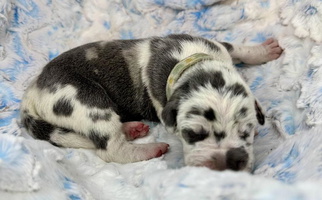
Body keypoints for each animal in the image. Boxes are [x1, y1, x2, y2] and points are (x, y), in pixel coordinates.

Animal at [20, 33, 282, 171]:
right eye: (191, 134)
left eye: (245, 131)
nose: (224, 167)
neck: (190, 61)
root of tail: (33, 90)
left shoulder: (217, 46)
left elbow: (236, 48)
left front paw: (264, 51)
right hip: (88, 101)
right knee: (111, 148)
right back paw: (148, 148)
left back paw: (131, 129)